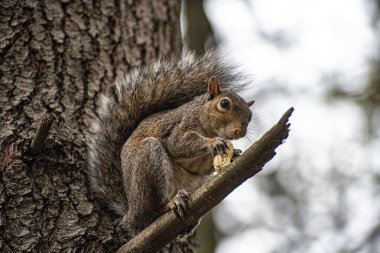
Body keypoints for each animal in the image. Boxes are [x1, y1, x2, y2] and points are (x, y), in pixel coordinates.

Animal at [85, 52, 252, 239]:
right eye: (224, 103)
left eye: (250, 115)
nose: (240, 132)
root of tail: (131, 216)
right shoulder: (182, 125)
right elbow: (177, 144)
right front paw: (212, 143)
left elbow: (201, 166)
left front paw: (234, 154)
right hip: (148, 160)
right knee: (152, 212)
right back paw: (170, 204)